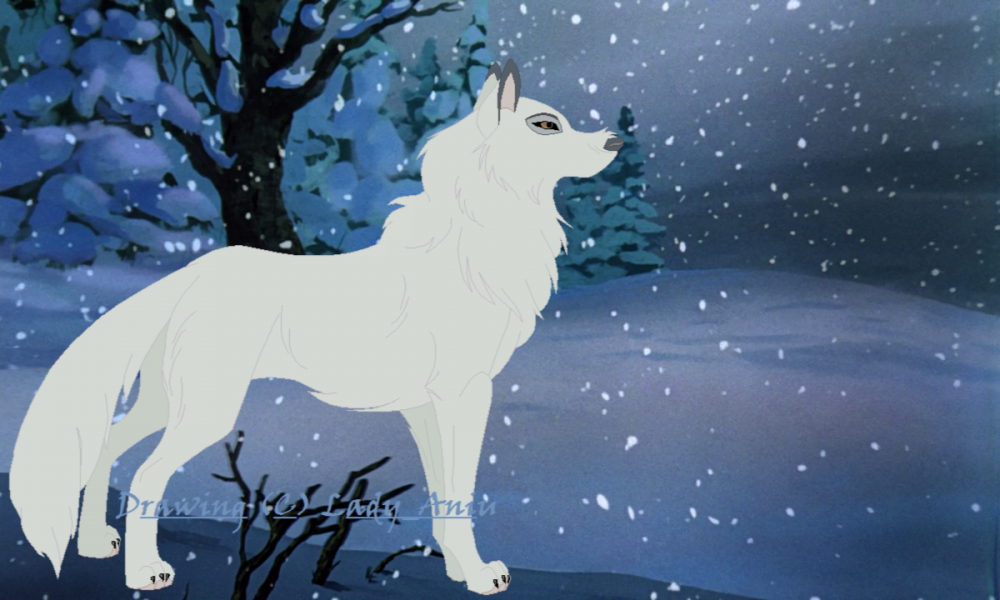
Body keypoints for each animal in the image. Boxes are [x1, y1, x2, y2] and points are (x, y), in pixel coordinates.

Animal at [9, 59, 621, 595]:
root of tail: (191, 273)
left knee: (107, 448)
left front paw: (454, 571)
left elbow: (443, 497)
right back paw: (145, 573)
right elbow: (462, 495)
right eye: (546, 124)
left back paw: (95, 545)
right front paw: (479, 577)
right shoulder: (464, 397)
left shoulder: (426, 410)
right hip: (206, 411)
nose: (615, 142)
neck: (476, 247)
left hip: (168, 403)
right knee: (144, 475)